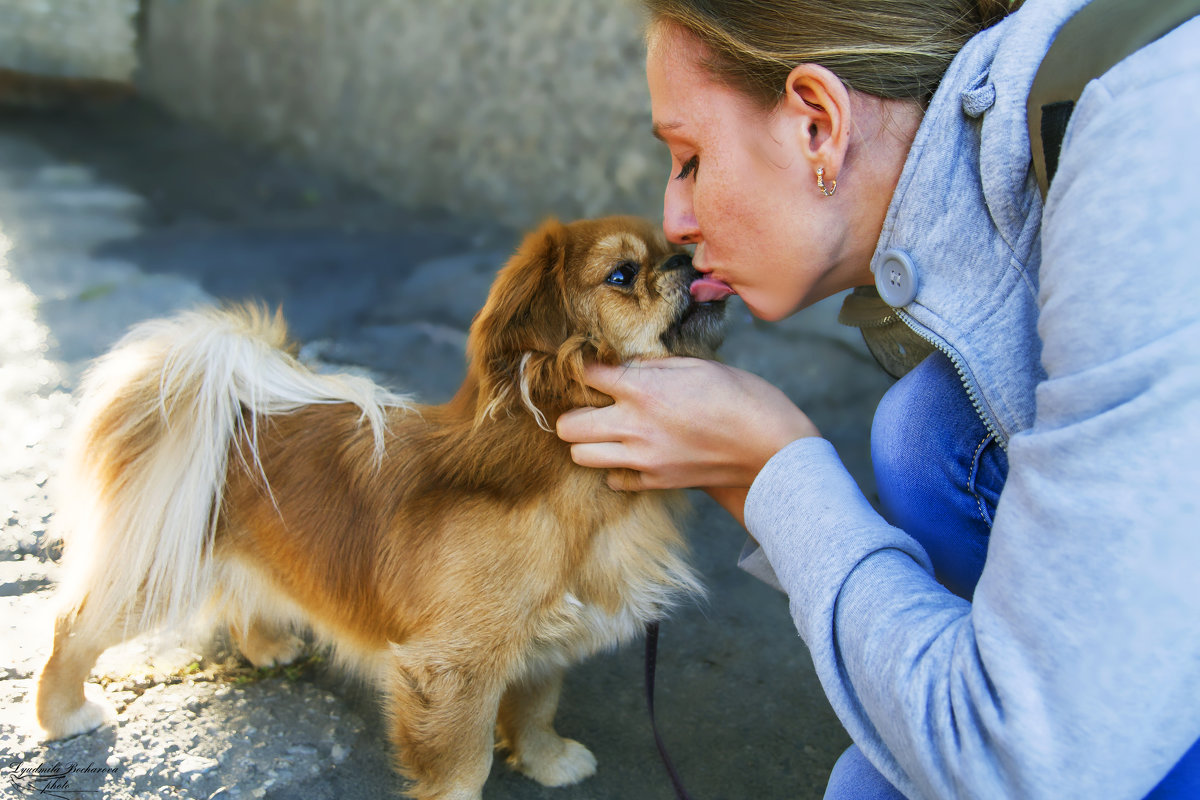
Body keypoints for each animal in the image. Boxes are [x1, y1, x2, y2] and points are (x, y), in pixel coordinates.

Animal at [37, 215, 724, 796]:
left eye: (670, 245)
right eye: (623, 274)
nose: (688, 258)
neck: (568, 473)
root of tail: (237, 410)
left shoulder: (543, 646)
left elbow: (536, 710)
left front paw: (548, 762)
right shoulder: (451, 670)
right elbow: (464, 766)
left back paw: (266, 645)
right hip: (158, 571)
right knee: (73, 627)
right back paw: (61, 713)